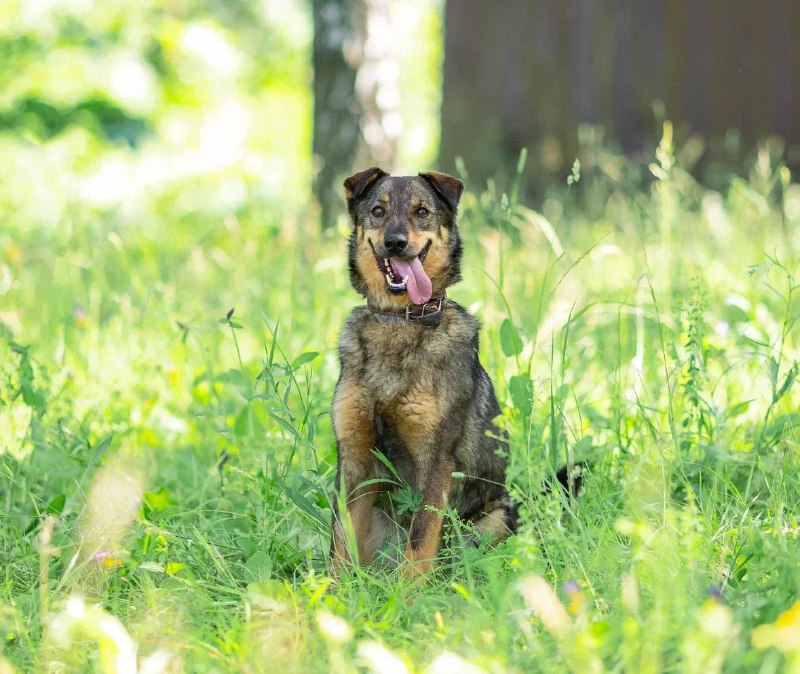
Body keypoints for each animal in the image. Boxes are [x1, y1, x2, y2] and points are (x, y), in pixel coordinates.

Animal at [328, 168, 516, 576]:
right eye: (378, 210)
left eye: (422, 211)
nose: (396, 243)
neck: (400, 319)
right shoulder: (354, 458)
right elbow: (340, 542)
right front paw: (333, 589)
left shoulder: (437, 460)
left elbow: (420, 539)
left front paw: (408, 591)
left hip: (496, 519)